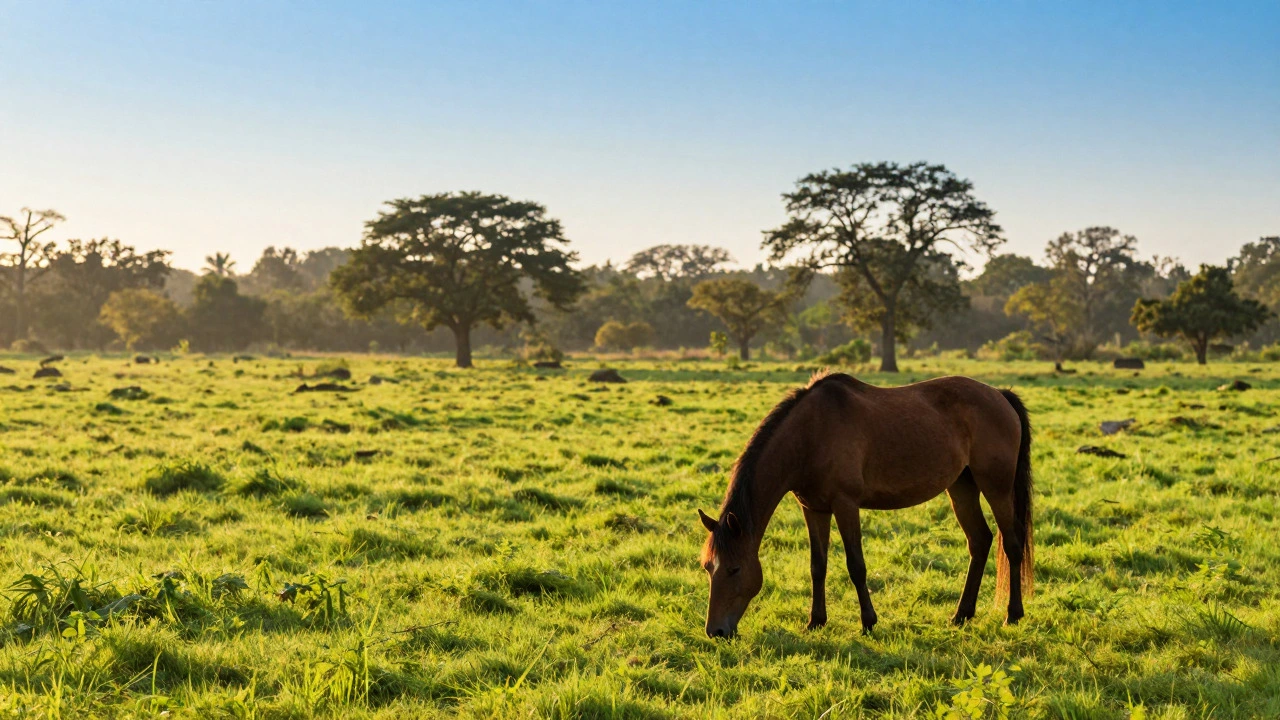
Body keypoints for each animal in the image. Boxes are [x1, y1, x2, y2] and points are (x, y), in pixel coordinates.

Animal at [697, 371, 1032, 638]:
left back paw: (1013, 615)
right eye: (707, 568)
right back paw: (962, 615)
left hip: (996, 486)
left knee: (1012, 544)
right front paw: (815, 622)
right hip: (962, 486)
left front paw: (868, 622)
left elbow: (856, 565)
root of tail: (999, 395)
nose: (716, 631)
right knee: (980, 541)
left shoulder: (845, 505)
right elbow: (817, 566)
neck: (811, 434)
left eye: (735, 569)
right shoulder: (814, 508)